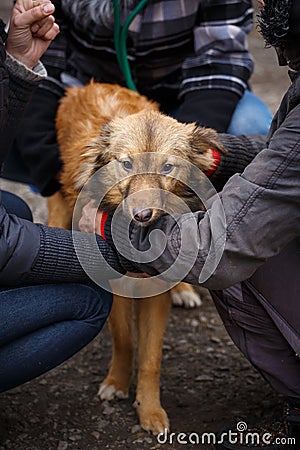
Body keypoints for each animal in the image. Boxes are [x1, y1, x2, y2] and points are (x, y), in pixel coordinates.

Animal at [48, 82, 224, 434]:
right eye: (126, 164)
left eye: (167, 167)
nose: (143, 215)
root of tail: (86, 86)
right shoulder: (113, 285)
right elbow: (125, 339)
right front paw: (116, 383)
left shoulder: (156, 292)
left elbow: (151, 358)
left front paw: (150, 410)